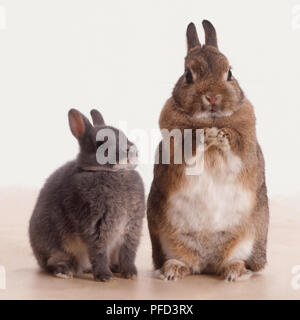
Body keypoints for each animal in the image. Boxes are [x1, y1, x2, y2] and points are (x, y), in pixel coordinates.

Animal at [29, 109, 145, 282]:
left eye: (123, 134)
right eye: (101, 143)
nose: (130, 150)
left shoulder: (132, 228)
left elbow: (128, 253)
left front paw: (131, 274)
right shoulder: (94, 226)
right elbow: (99, 252)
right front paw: (104, 277)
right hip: (58, 249)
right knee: (54, 263)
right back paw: (65, 272)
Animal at [148, 20, 270, 282]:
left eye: (230, 73)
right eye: (188, 75)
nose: (212, 97)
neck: (211, 119)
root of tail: (208, 264)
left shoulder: (246, 149)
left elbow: (235, 149)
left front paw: (221, 135)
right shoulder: (176, 150)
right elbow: (189, 149)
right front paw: (206, 136)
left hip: (249, 239)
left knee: (237, 260)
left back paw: (234, 272)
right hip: (168, 240)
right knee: (185, 262)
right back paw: (172, 271)